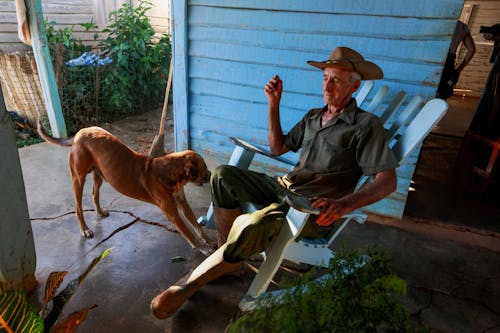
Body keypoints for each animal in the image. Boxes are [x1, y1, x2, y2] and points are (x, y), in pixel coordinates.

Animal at [36, 121, 213, 254]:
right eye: (204, 169)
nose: (211, 174)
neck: (169, 172)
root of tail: (79, 133)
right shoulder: (172, 213)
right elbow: (188, 232)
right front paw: (202, 248)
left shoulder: (183, 203)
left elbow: (196, 226)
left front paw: (208, 240)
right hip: (78, 178)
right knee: (78, 206)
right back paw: (85, 229)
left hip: (99, 175)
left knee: (94, 194)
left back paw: (100, 212)